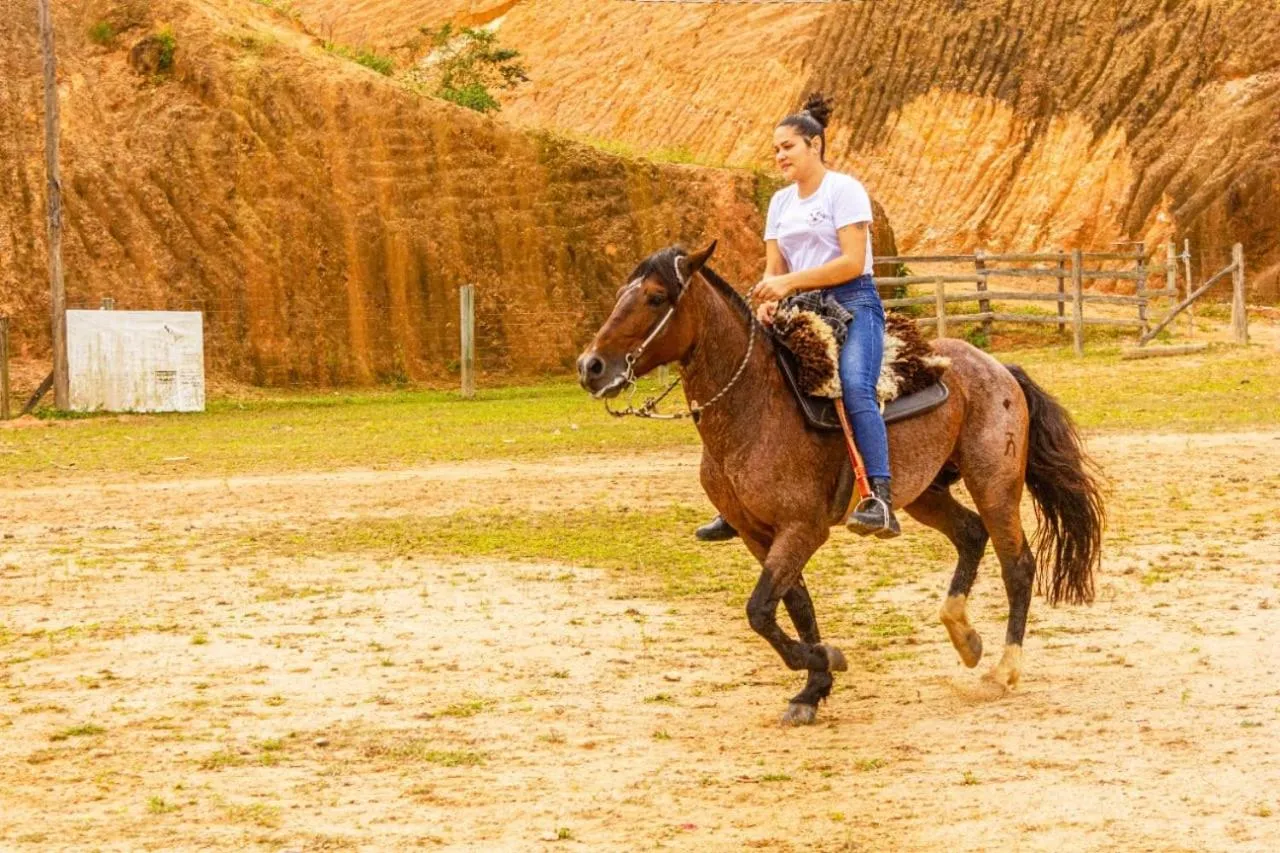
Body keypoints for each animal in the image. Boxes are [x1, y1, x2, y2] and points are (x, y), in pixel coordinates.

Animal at [577, 241, 1105, 725]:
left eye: (655, 297)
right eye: (623, 293)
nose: (591, 366)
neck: (755, 406)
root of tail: (997, 368)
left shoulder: (803, 529)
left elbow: (760, 610)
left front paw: (827, 661)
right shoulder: (756, 534)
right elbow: (792, 606)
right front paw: (813, 689)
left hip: (993, 483)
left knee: (1017, 564)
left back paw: (1003, 670)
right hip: (924, 494)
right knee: (971, 534)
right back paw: (965, 637)